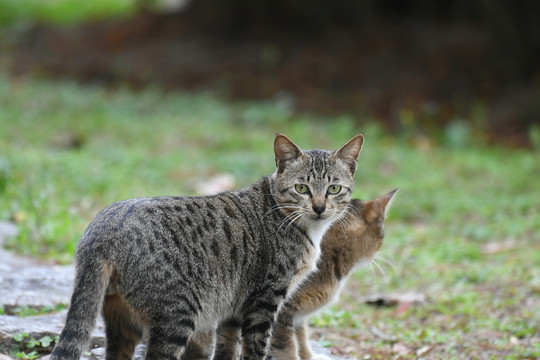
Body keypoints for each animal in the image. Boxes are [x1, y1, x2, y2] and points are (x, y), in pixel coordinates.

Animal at [49, 134, 362, 358]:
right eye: (301, 188)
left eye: (334, 188)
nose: (319, 207)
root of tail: (103, 228)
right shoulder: (263, 301)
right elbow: (256, 350)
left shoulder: (233, 310)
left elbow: (226, 350)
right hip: (176, 315)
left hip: (120, 321)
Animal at [182, 190, 396, 358]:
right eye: (382, 235)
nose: (380, 247)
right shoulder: (280, 311)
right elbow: (287, 347)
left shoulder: (296, 317)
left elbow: (302, 340)